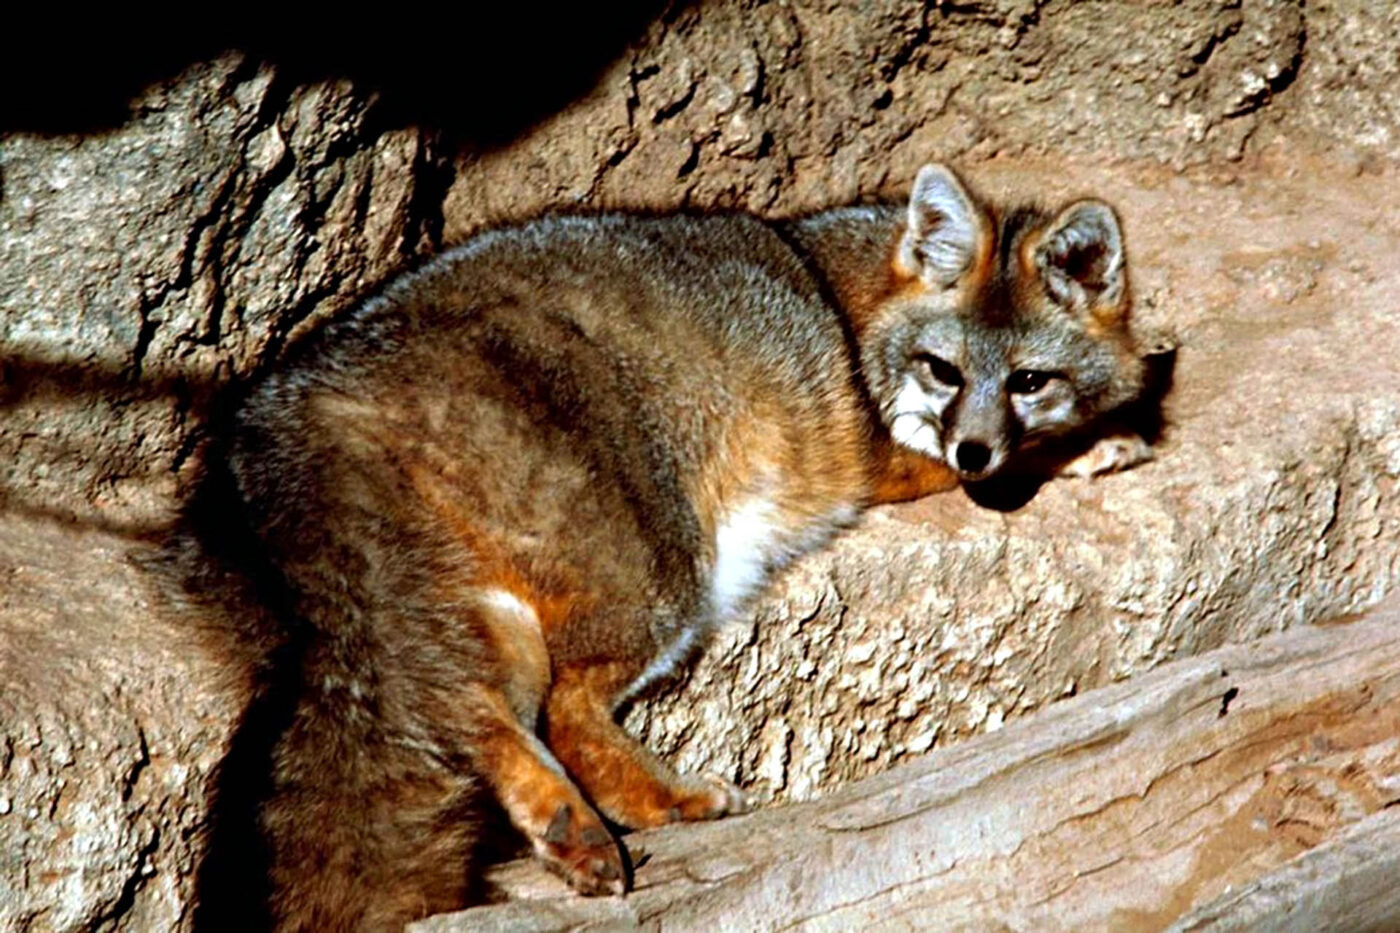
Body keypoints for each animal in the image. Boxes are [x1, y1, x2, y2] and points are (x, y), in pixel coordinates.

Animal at [195, 162, 1149, 931]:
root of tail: (297, 390)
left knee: (476, 712)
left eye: (1028, 380)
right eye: (943, 372)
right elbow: (1008, 461)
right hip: (663, 581)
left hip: (487, 616)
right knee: (561, 710)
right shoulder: (888, 455)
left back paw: (569, 828)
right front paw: (1098, 440)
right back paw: (661, 803)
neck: (856, 298)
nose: (976, 449)